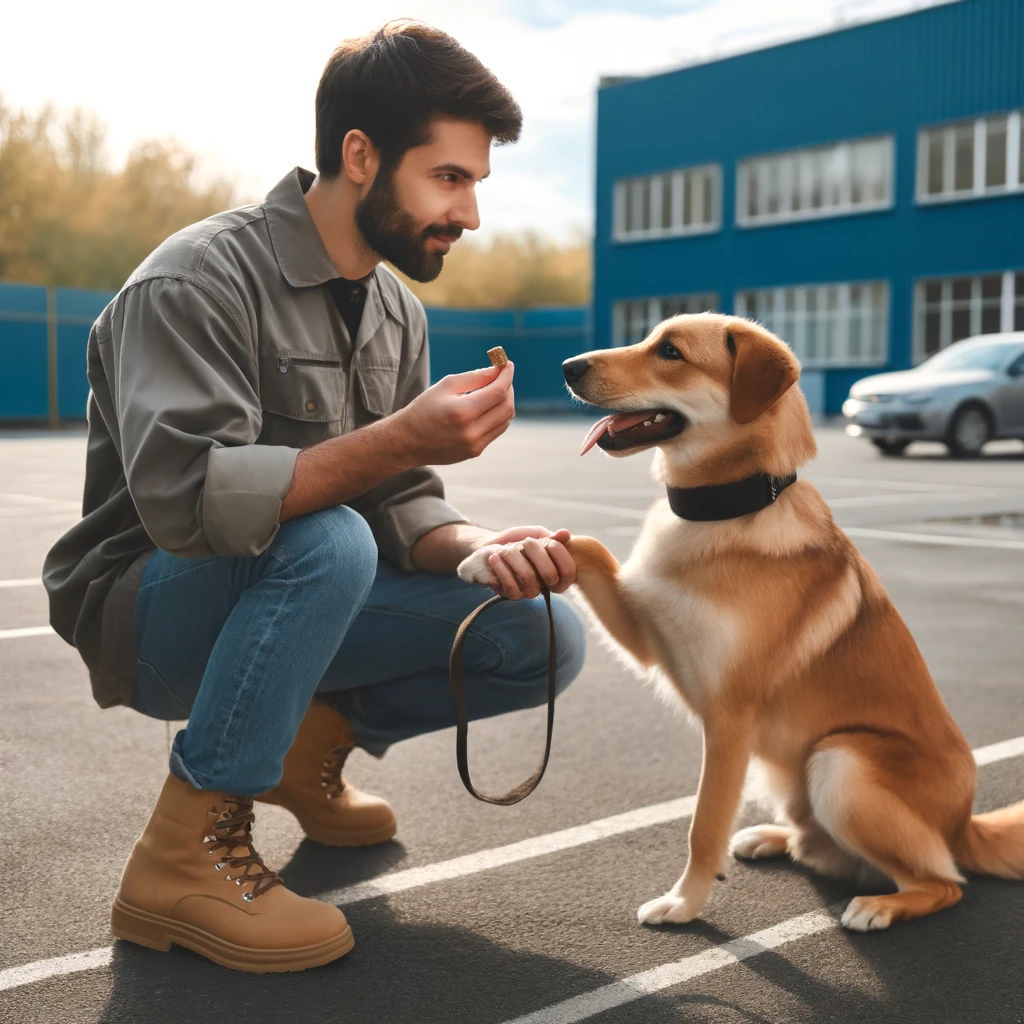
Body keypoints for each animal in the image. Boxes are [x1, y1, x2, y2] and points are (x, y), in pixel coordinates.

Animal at [458, 311, 1024, 929]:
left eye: (671, 352)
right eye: (649, 336)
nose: (568, 367)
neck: (724, 512)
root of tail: (964, 824)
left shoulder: (728, 719)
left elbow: (703, 824)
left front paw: (684, 903)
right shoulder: (646, 637)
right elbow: (583, 544)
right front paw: (504, 553)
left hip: (840, 762)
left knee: (943, 882)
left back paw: (881, 906)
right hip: (788, 770)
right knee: (819, 844)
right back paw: (772, 838)